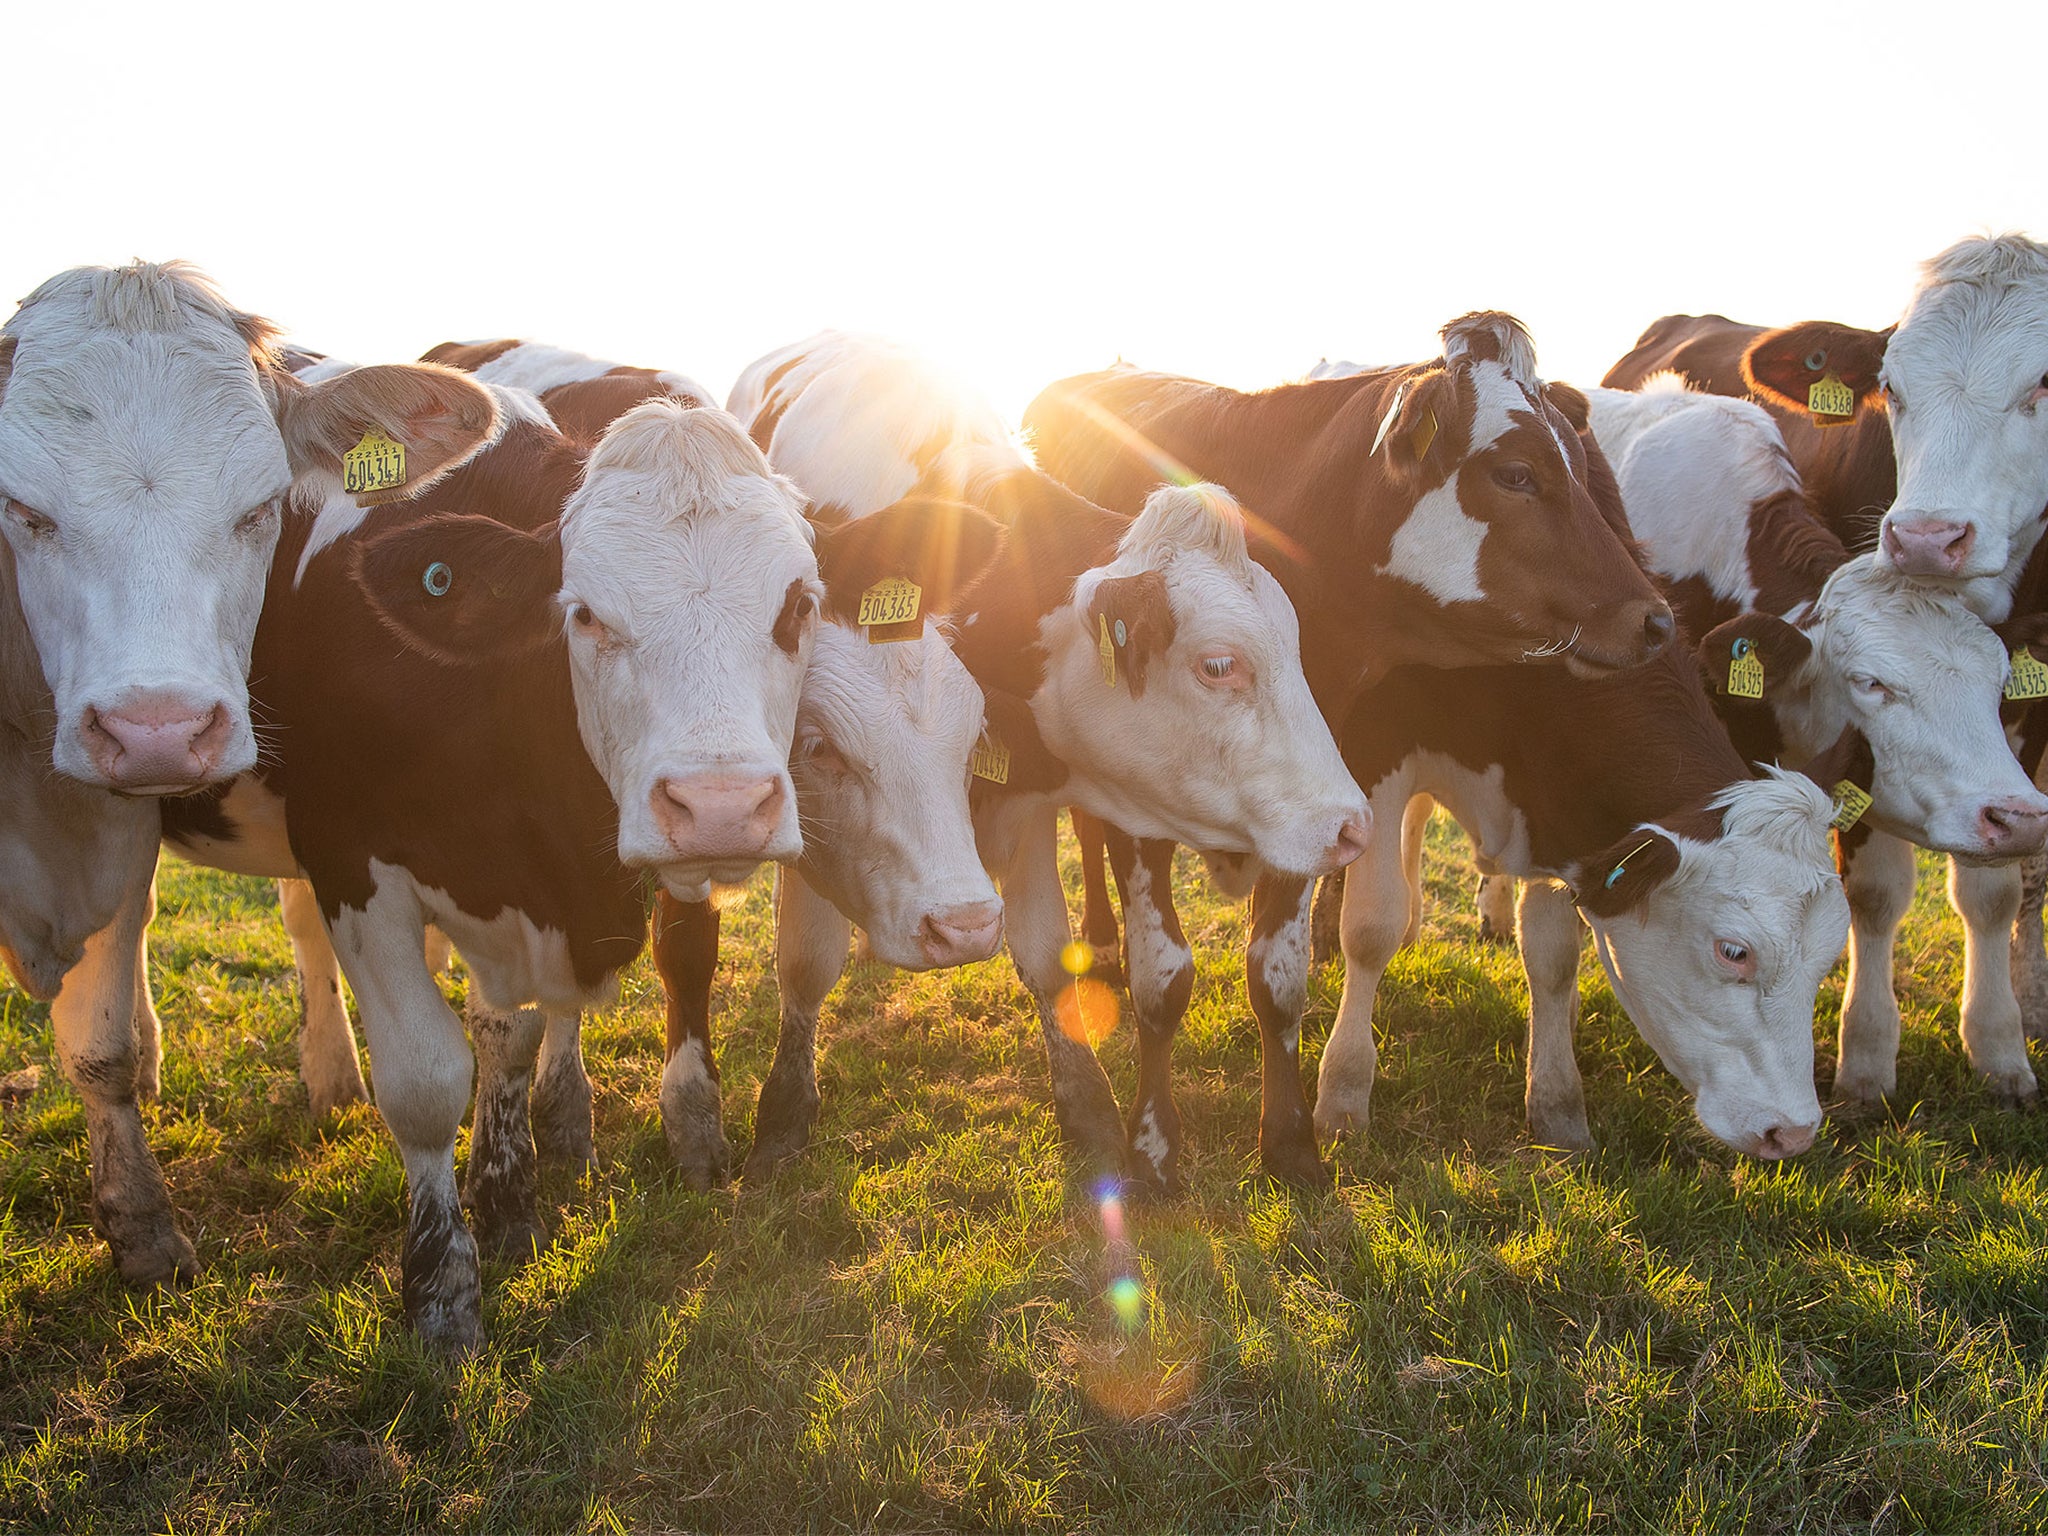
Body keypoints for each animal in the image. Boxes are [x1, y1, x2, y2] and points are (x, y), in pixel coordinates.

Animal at [1024, 307, 1679, 1187]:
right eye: (1515, 474)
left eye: (1579, 463)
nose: (1656, 619)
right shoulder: (1144, 806)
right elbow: (1163, 977)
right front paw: (1155, 1149)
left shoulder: (1308, 801)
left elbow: (1277, 977)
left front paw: (1290, 1142)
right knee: (1088, 838)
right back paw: (1095, 937)